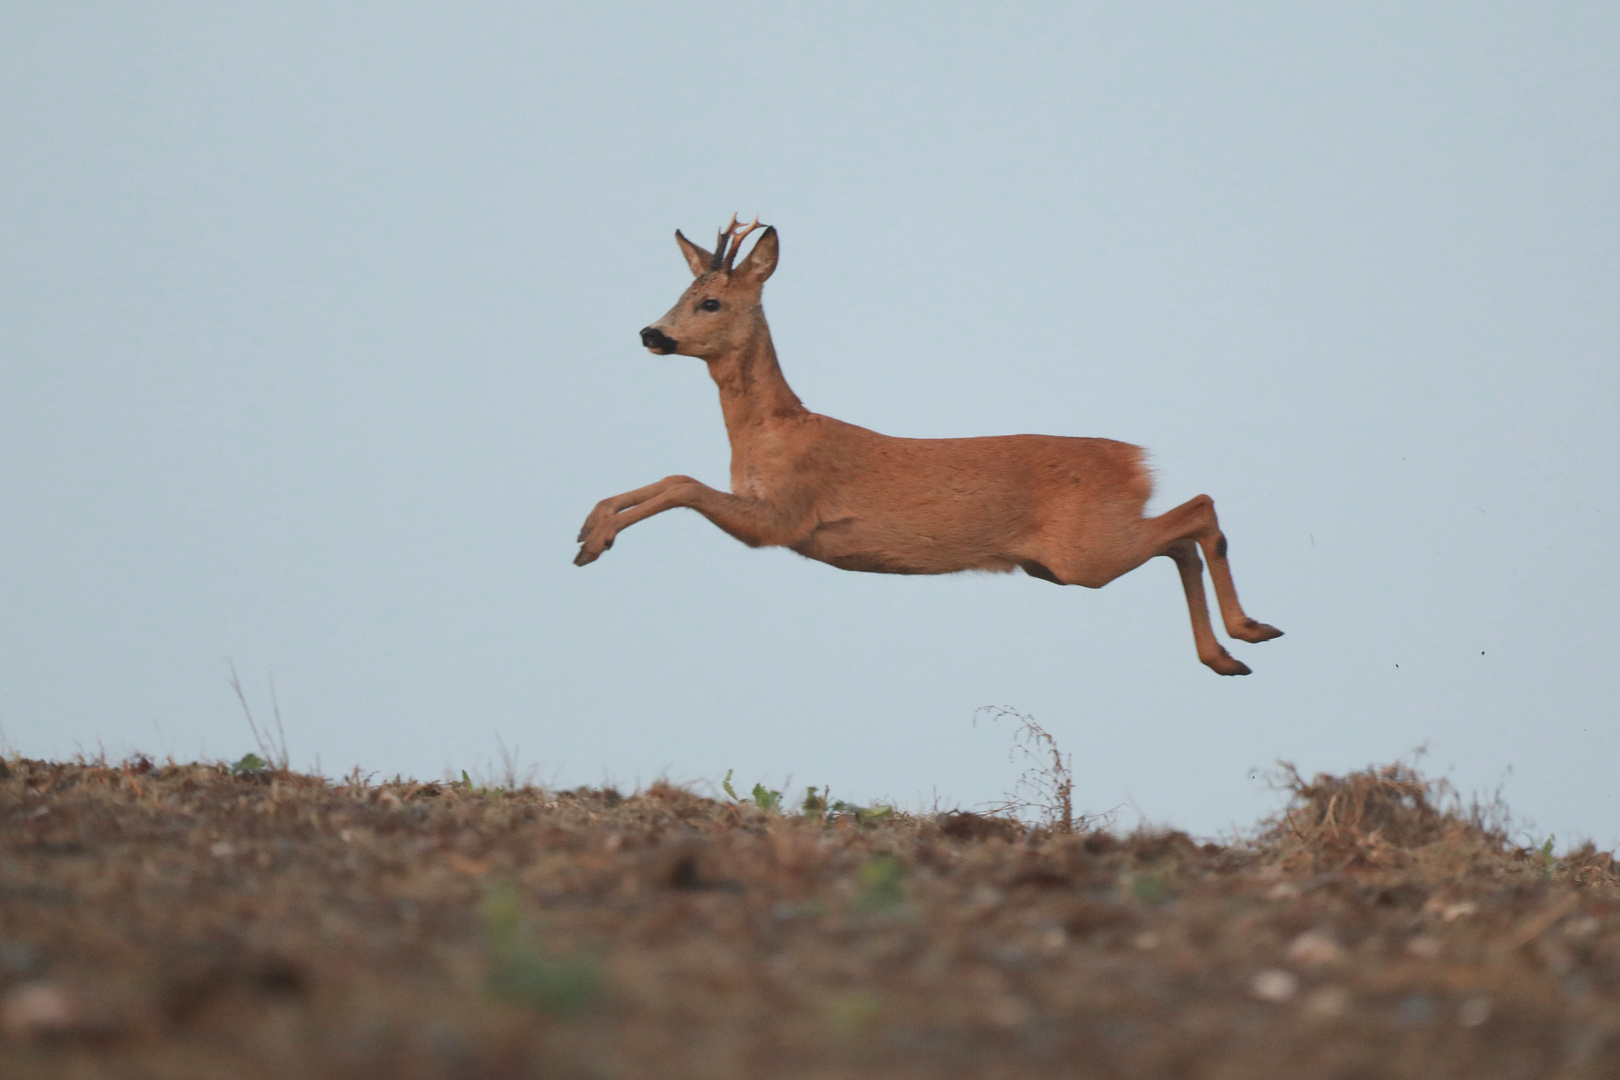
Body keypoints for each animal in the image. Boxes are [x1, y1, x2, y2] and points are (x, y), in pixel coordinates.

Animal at [576, 216, 1283, 676]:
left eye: (711, 302)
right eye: (681, 294)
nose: (650, 334)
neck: (770, 431)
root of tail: (1134, 461)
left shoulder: (784, 517)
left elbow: (683, 483)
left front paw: (596, 538)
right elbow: (672, 479)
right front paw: (588, 532)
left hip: (1085, 551)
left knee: (1199, 510)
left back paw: (1250, 630)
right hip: (1069, 559)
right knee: (1181, 539)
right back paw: (1227, 656)